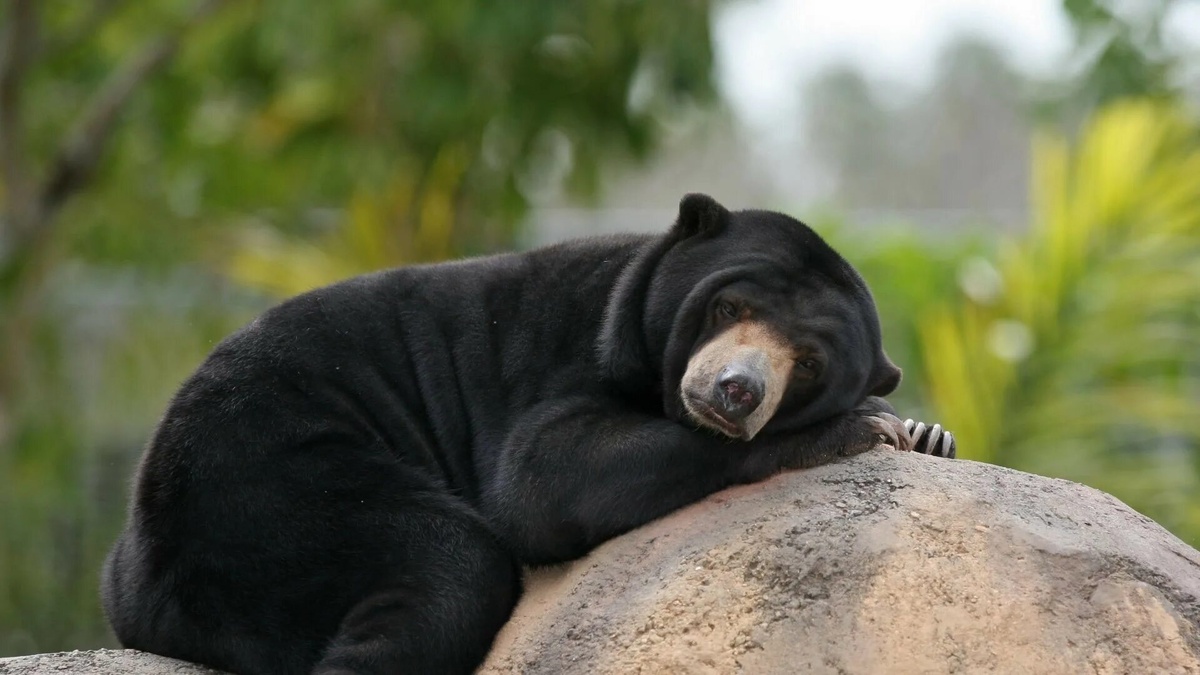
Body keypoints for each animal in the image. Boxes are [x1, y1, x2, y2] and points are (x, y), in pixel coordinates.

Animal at [100, 193, 955, 675]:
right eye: (728, 307)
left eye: (806, 362)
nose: (736, 391)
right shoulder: (569, 352)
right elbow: (542, 477)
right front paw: (865, 426)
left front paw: (929, 432)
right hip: (265, 482)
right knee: (450, 567)